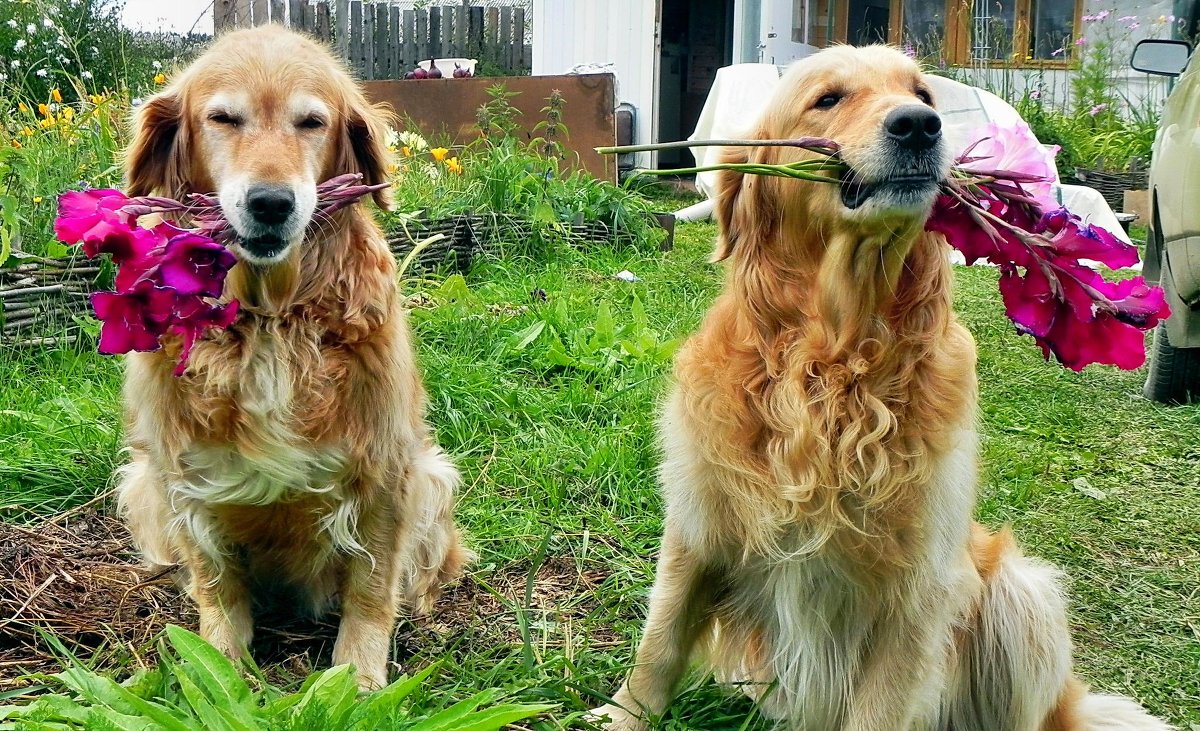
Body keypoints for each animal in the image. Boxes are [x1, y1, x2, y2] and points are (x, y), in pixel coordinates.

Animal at [113, 25, 468, 686]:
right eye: (223, 118)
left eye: (311, 123)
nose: (272, 203)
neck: (271, 319)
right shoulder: (181, 474)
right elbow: (216, 588)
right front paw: (218, 669)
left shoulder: (386, 468)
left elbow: (371, 591)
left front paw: (358, 681)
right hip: (141, 483)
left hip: (434, 478)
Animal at [590, 45, 1171, 729]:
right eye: (828, 98)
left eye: (922, 93)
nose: (919, 125)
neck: (834, 359)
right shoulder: (699, 521)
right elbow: (661, 637)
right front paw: (622, 716)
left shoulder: (919, 588)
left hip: (1020, 594)